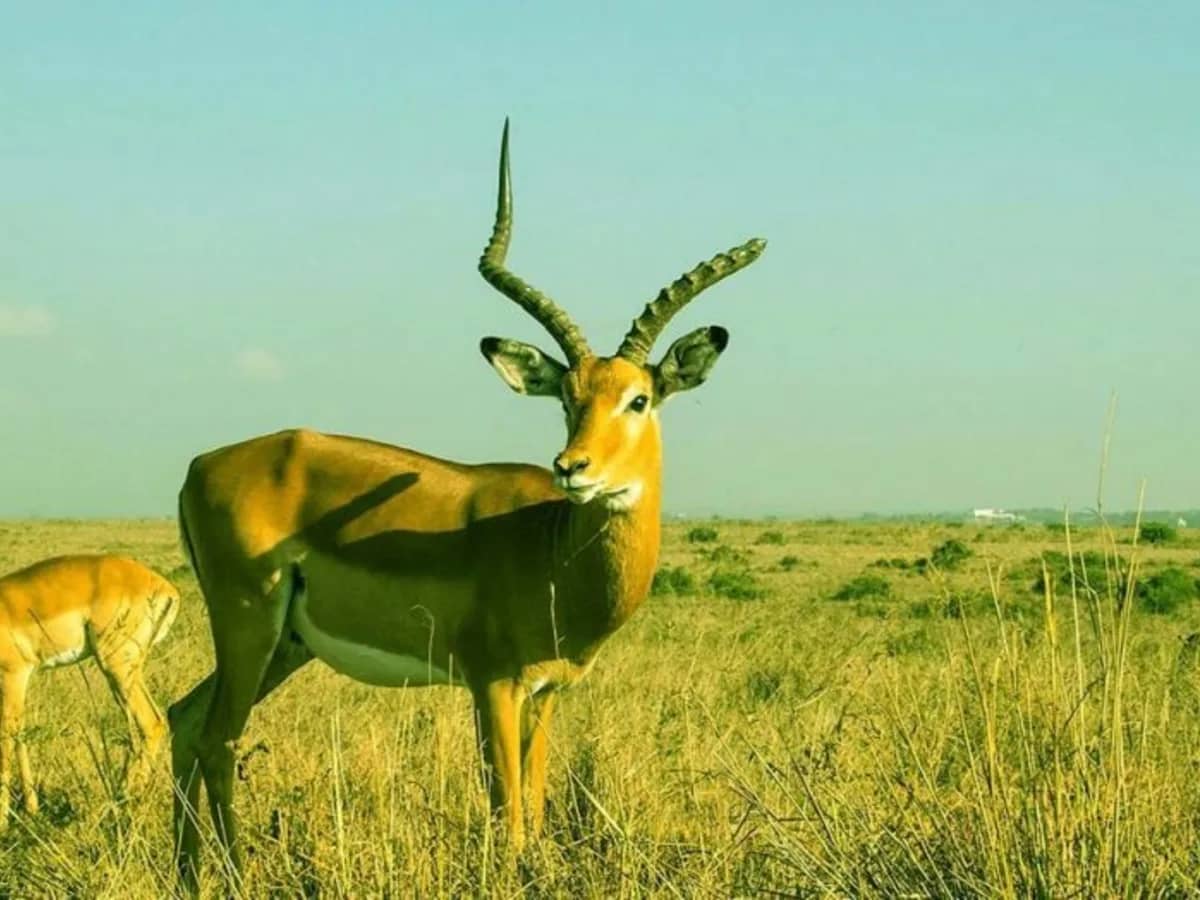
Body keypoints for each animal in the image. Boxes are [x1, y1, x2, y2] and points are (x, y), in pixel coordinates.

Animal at [0, 554, 180, 830]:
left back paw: (126, 801)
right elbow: (20, 733)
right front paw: (32, 810)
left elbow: (6, 737)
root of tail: (165, 587)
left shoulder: (14, 674)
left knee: (151, 722)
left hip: (116, 666)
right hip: (127, 672)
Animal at [168, 120, 765, 890]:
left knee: (184, 719)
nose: (573, 467)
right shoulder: (493, 686)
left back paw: (185, 873)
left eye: (638, 398)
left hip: (284, 645)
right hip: (249, 623)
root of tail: (200, 466)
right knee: (219, 739)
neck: (551, 550)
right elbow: (507, 815)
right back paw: (235, 877)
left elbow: (534, 807)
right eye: (567, 396)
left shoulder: (545, 694)